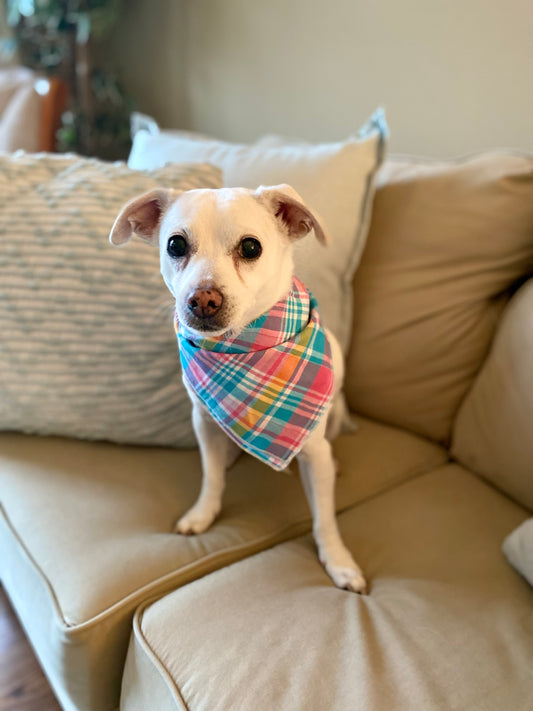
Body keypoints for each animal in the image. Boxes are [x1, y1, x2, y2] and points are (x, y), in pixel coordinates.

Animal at [109, 181, 366, 592]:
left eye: (250, 248)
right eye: (175, 245)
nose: (202, 299)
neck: (241, 349)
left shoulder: (313, 453)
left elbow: (324, 517)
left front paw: (338, 561)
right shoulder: (203, 422)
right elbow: (211, 477)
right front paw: (203, 513)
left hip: (336, 415)